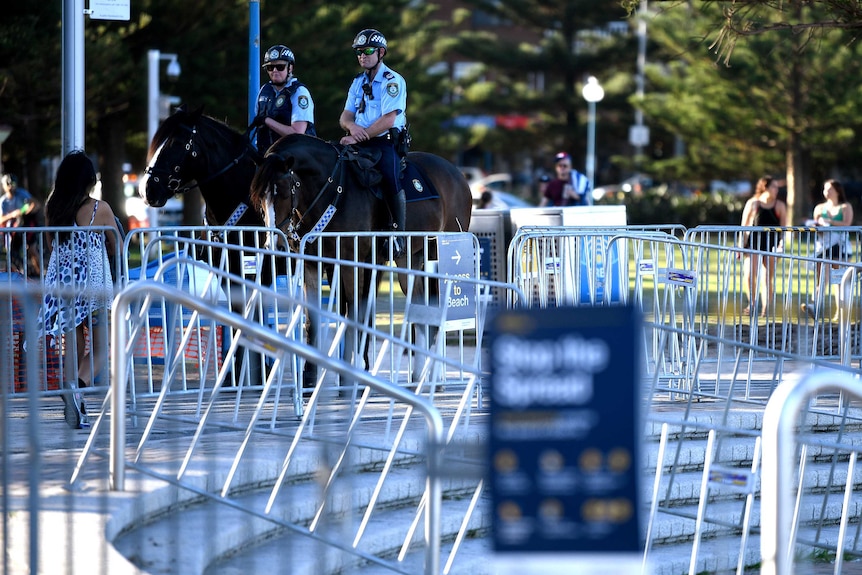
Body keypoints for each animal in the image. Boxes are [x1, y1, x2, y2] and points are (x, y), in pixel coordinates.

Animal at [250, 133, 476, 390]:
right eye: (259, 197)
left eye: (284, 192)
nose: (273, 244)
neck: (332, 189)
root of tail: (457, 174)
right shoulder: (312, 264)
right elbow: (313, 321)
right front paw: (310, 378)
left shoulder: (352, 261)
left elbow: (355, 314)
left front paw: (355, 371)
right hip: (409, 262)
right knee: (421, 312)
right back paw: (420, 375)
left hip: (437, 256)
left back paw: (434, 377)